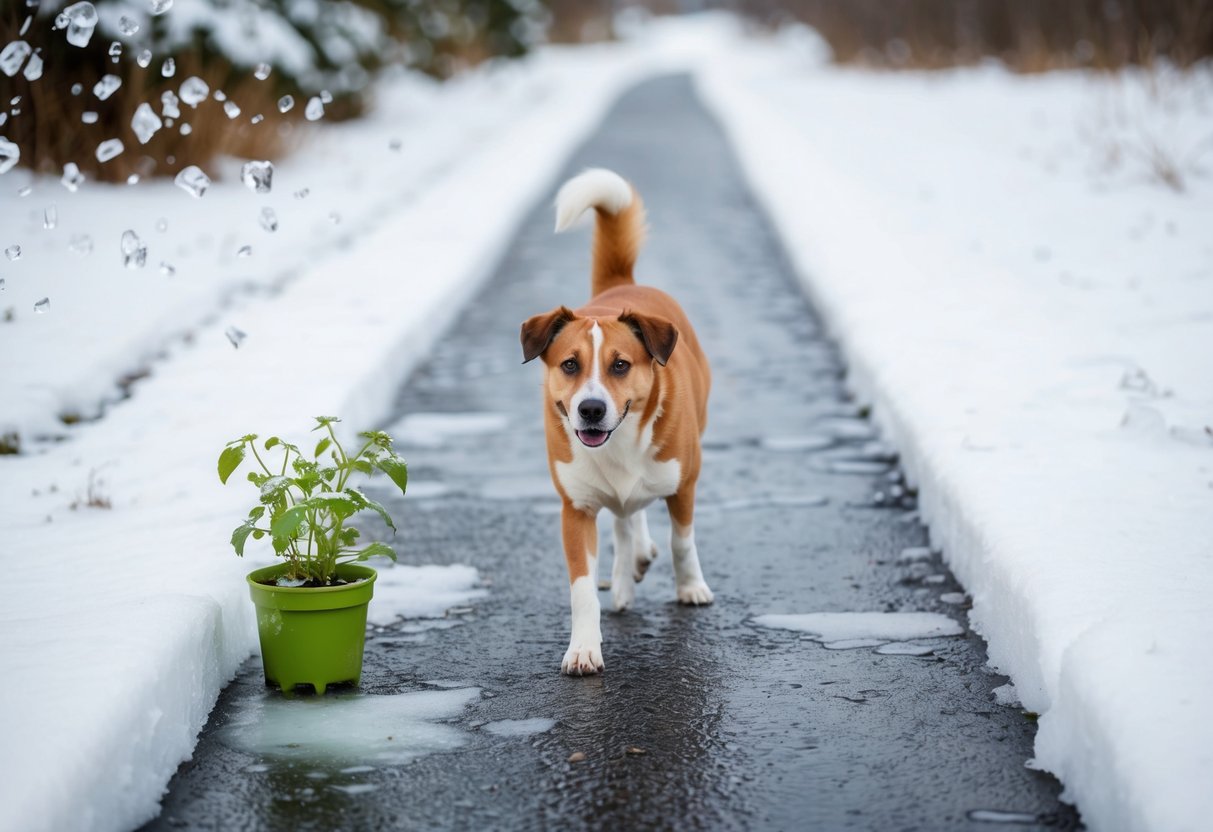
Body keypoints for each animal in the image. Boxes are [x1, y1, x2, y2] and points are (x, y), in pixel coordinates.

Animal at [519, 169, 708, 679]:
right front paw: (583, 649)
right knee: (626, 516)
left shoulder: (685, 483)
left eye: (620, 365)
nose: (590, 409)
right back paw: (628, 569)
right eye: (569, 364)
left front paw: (690, 587)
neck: (618, 443)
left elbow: (682, 541)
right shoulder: (575, 509)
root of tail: (623, 285)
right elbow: (582, 588)